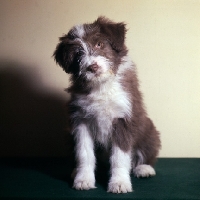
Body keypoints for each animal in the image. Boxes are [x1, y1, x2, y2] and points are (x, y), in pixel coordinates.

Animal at [53, 17, 161, 194]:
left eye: (99, 44)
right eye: (78, 54)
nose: (92, 66)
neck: (101, 86)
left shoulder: (123, 118)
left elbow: (119, 156)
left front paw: (119, 183)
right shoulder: (80, 120)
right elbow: (84, 153)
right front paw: (83, 179)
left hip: (150, 131)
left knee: (145, 153)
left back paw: (144, 168)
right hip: (68, 134)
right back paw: (75, 171)